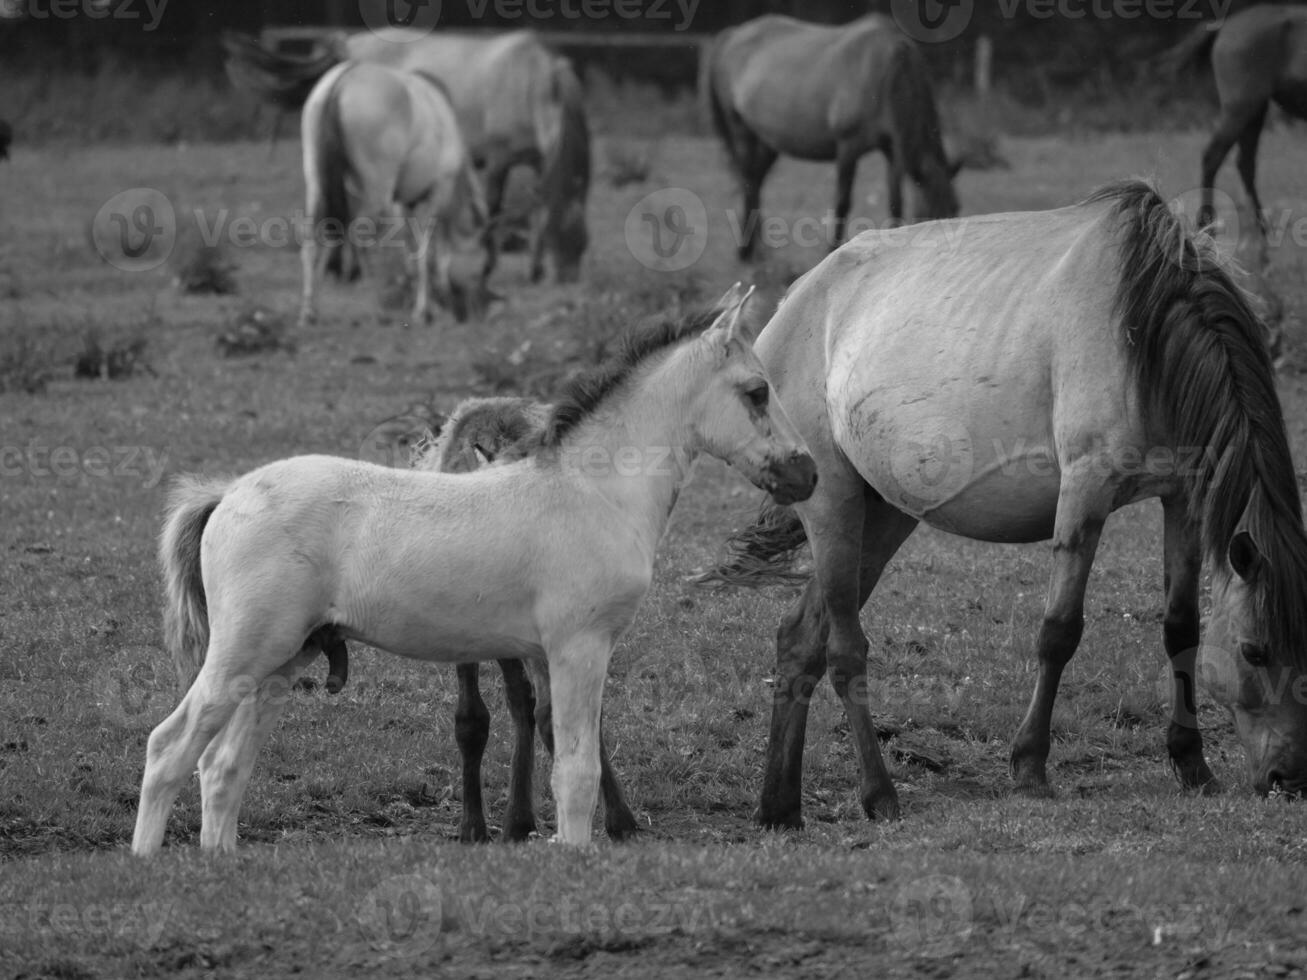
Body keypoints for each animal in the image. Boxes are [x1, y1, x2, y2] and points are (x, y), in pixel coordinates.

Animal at [127, 283, 810, 851]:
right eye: (756, 391)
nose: (807, 473)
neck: (592, 491)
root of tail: (228, 494)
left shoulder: (542, 654)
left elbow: (558, 748)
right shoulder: (579, 646)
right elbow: (577, 768)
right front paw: (576, 856)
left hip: (281, 662)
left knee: (222, 768)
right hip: (244, 653)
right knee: (168, 748)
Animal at [299, 61, 488, 330]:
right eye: (483, 268)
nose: (477, 312)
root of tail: (343, 79)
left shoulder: (404, 202)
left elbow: (411, 249)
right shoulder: (436, 193)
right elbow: (429, 252)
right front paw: (425, 310)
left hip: (316, 185)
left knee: (312, 241)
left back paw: (309, 311)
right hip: (376, 194)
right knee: (360, 240)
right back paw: (376, 307)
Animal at [705, 14, 961, 261]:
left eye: (955, 210)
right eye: (931, 214)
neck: (887, 71)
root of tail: (733, 34)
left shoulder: (892, 147)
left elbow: (895, 201)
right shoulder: (848, 146)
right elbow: (842, 202)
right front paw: (832, 249)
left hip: (769, 142)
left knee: (756, 182)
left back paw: (761, 250)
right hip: (742, 131)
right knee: (748, 182)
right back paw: (746, 252)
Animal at [705, 182, 1307, 831]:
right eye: (1254, 650)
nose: (1289, 779)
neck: (1145, 330)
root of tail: (793, 303)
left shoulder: (1183, 498)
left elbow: (1181, 629)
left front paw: (1192, 763)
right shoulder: (1086, 489)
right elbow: (1059, 631)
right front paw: (1030, 766)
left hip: (883, 515)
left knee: (799, 642)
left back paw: (779, 807)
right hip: (834, 505)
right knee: (844, 652)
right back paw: (878, 794)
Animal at [1165, 7, 1307, 236]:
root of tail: (1223, 26)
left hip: (1255, 111)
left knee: (1244, 162)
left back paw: (1261, 225)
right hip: (1241, 109)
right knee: (1214, 156)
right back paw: (1206, 224)